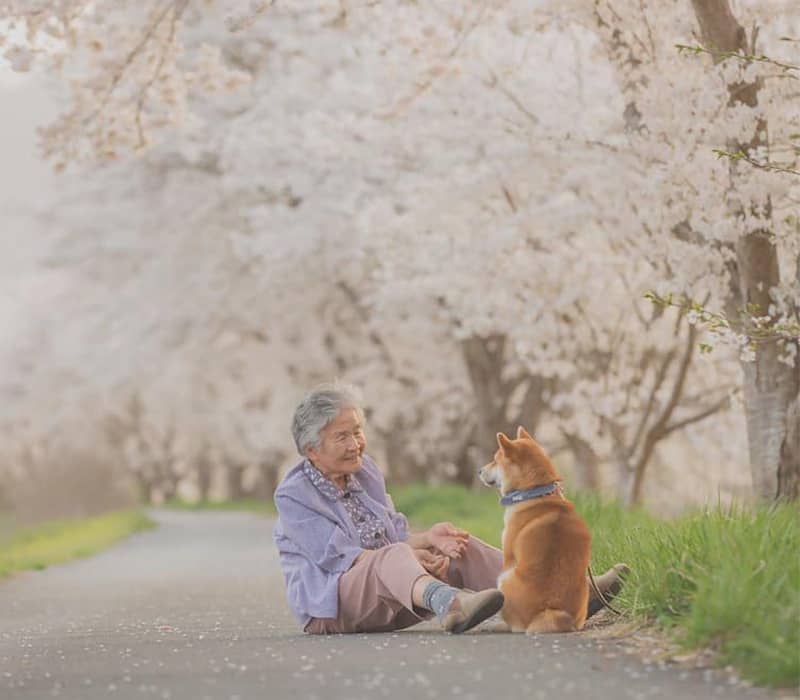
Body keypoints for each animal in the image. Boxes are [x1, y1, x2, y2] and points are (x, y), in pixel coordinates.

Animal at [478, 426, 592, 636]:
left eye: (495, 460)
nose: (479, 470)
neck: (535, 493)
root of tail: (550, 611)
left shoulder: (508, 556)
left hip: (504, 580)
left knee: (515, 627)